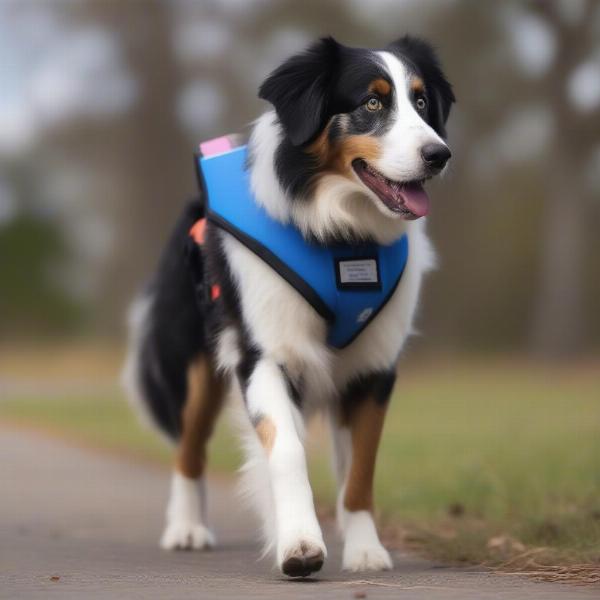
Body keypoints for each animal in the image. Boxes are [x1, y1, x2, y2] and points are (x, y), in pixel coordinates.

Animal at [122, 34, 452, 576]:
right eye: (372, 103)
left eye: (422, 102)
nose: (439, 154)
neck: (342, 237)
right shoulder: (265, 355)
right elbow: (288, 450)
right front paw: (299, 544)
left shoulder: (374, 369)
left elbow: (360, 469)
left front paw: (364, 550)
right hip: (195, 366)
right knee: (189, 448)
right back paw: (186, 528)